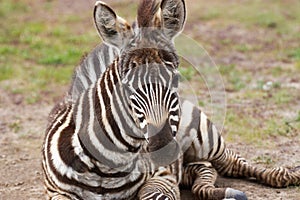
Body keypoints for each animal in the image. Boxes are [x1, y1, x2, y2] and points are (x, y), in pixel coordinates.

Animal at [42, 0, 300, 200]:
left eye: (175, 80)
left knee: (232, 162)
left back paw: (287, 175)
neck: (107, 167)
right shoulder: (56, 192)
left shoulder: (162, 177)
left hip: (205, 138)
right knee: (204, 168)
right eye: (126, 85)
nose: (162, 150)